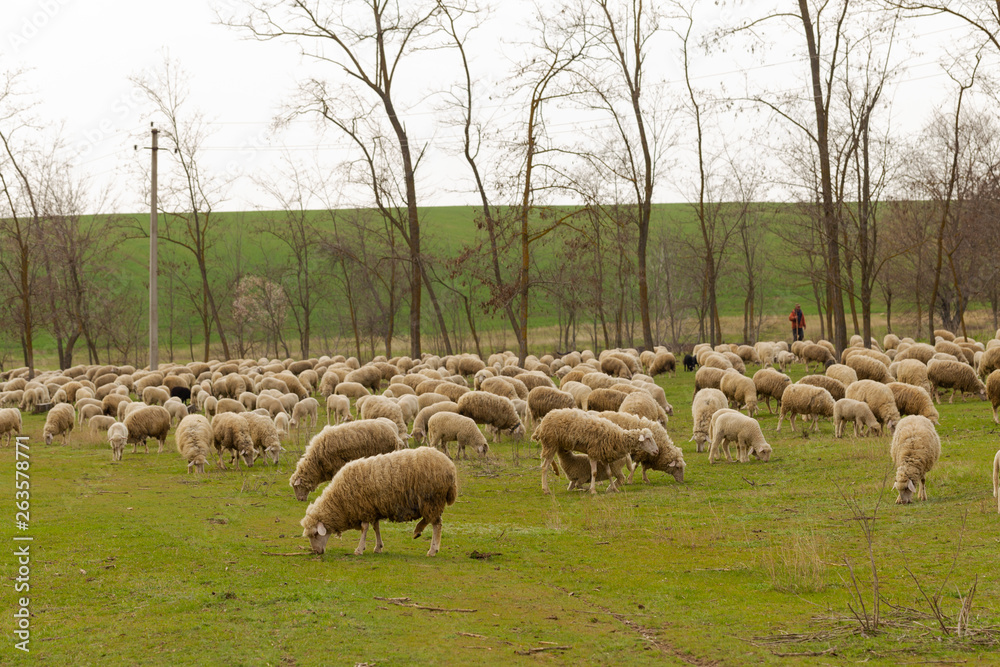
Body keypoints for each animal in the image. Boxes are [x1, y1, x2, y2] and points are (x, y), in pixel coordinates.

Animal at [300, 447, 457, 556]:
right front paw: (378, 547)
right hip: (431, 502)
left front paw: (359, 549)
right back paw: (419, 532)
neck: (339, 500)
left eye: (315, 534)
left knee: (436, 524)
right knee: (432, 520)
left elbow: (364, 528)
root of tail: (450, 466)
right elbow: (376, 527)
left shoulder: (363, 508)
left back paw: (431, 548)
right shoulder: (372, 508)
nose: (316, 552)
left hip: (431, 500)